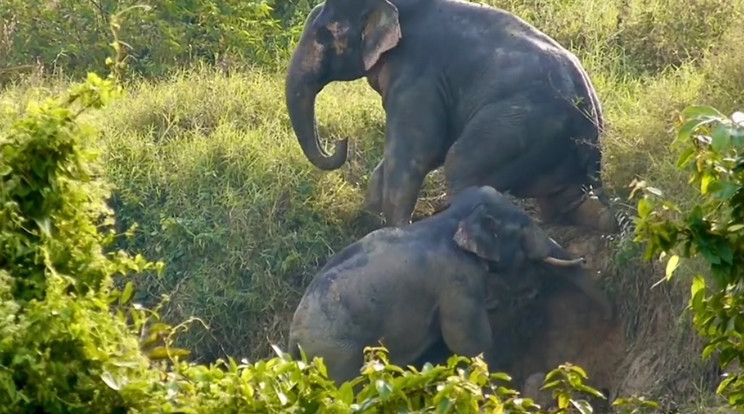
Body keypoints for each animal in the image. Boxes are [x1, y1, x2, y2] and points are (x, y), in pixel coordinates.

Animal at [284, 0, 620, 233]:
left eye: (323, 37)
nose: (341, 142)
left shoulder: (419, 76)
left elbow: (418, 154)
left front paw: (395, 230)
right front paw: (369, 224)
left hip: (522, 128)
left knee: (462, 164)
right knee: (565, 199)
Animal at [284, 184, 612, 384]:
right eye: (524, 230)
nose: (612, 318)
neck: (451, 217)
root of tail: (293, 339)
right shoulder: (457, 283)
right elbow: (469, 343)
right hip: (338, 354)